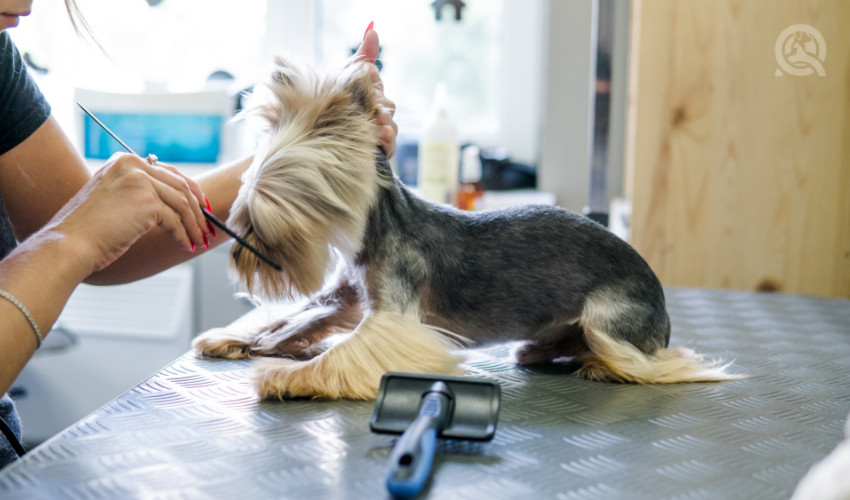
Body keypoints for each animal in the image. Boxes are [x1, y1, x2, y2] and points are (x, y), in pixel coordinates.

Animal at [190, 57, 736, 398]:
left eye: (287, 198)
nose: (239, 252)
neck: (372, 235)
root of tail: (662, 306)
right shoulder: (345, 299)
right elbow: (295, 318)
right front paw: (238, 339)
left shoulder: (393, 319)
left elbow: (342, 353)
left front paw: (281, 376)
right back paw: (548, 349)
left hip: (611, 318)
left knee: (646, 359)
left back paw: (603, 365)